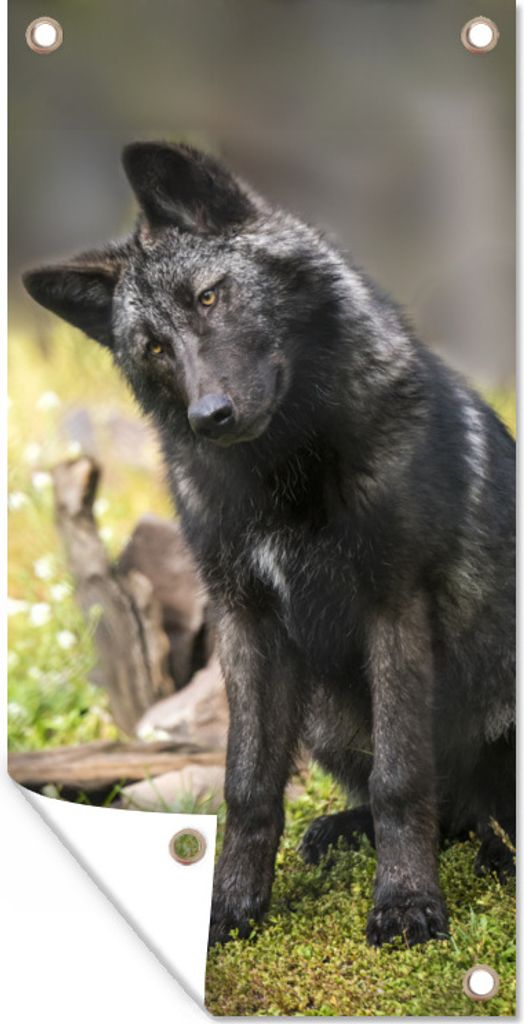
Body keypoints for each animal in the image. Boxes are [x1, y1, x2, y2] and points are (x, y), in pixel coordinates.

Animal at [24, 142, 515, 947]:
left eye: (209, 297)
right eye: (153, 347)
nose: (209, 415)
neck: (281, 481)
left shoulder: (394, 604)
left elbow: (401, 777)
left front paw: (406, 903)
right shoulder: (245, 619)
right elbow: (248, 785)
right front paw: (229, 906)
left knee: (466, 810)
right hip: (325, 717)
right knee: (454, 816)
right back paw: (348, 833)